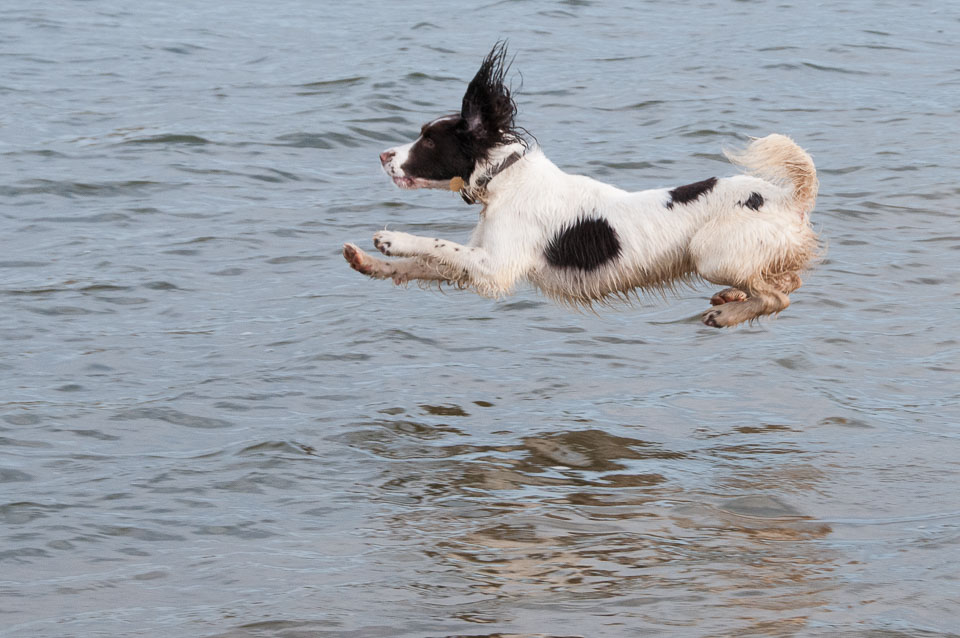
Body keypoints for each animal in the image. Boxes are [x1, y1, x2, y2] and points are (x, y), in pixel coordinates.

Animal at [340, 43, 816, 330]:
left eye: (427, 139)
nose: (382, 155)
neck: (508, 178)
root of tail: (790, 198)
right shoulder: (480, 261)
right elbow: (421, 265)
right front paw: (368, 262)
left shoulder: (496, 266)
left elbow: (434, 245)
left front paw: (390, 239)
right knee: (786, 280)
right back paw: (731, 298)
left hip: (709, 252)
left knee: (778, 296)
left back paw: (728, 314)